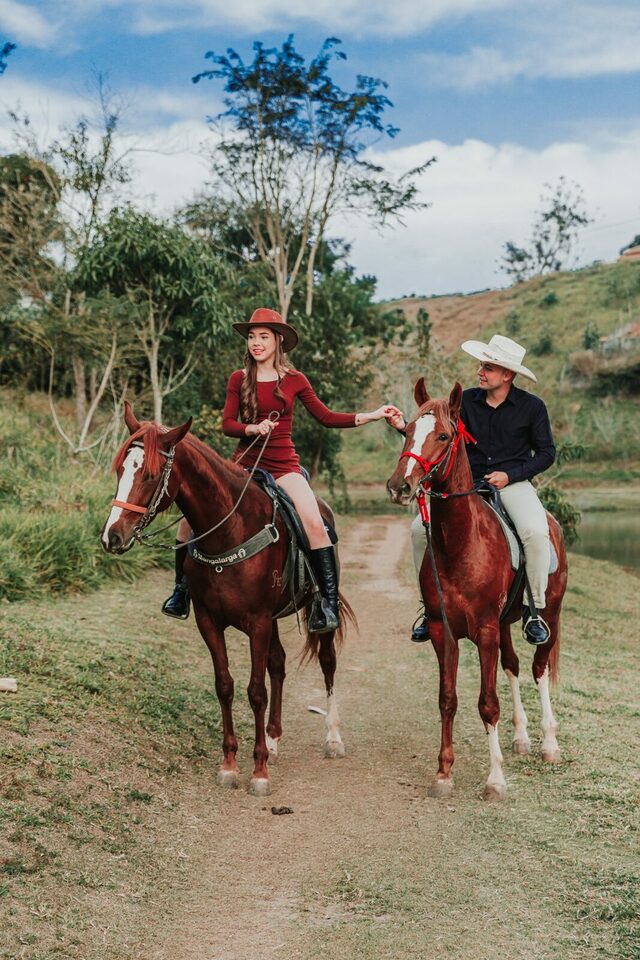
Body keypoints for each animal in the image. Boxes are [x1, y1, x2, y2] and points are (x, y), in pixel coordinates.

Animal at [100, 402, 353, 796]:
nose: (112, 536)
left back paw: (332, 739)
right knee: (278, 664)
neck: (230, 529)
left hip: (313, 616)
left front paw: (259, 772)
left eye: (151, 475)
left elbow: (256, 691)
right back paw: (274, 739)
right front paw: (231, 764)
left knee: (327, 663)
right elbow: (225, 686)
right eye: (120, 470)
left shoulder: (258, 622)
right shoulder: (210, 620)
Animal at [387, 379, 568, 800]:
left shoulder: (484, 631)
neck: (460, 545)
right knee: (513, 666)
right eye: (406, 431)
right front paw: (443, 774)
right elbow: (447, 699)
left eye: (443, 435)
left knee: (537, 669)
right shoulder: (444, 631)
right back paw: (521, 739)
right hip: (504, 624)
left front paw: (495, 780)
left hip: (548, 615)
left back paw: (549, 744)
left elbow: (487, 704)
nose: (400, 486)